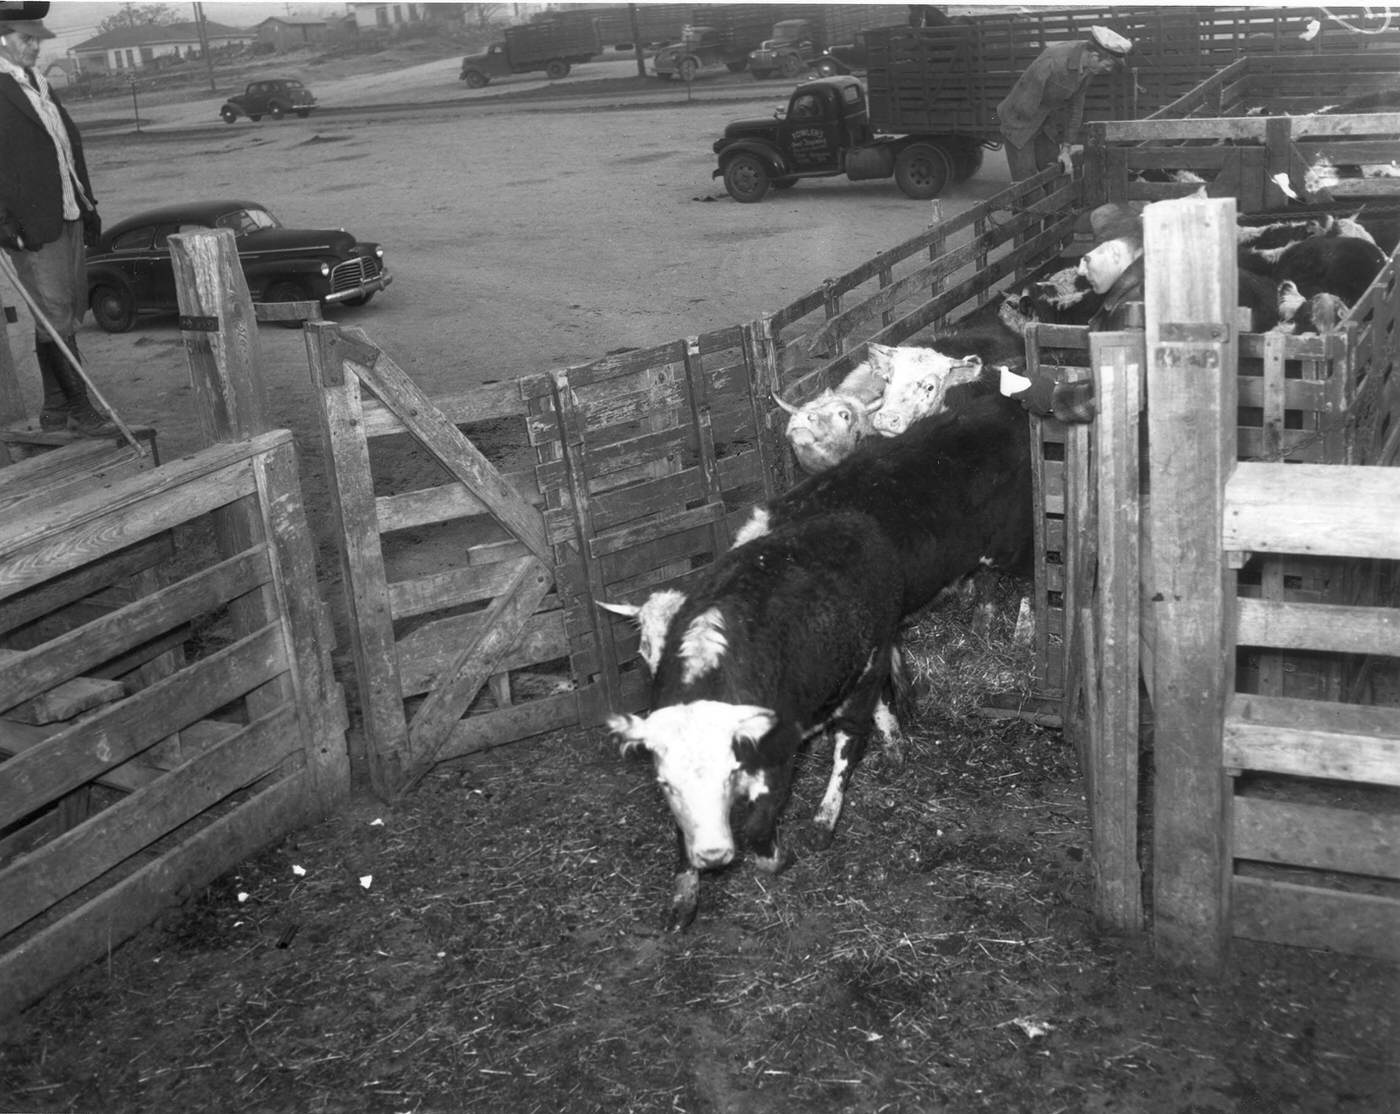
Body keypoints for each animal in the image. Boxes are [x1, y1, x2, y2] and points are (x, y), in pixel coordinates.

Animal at [607, 512, 901, 929]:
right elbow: (683, 833)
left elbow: (758, 826)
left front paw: (777, 857)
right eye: (667, 784)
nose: (712, 854)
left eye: (728, 775)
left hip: (868, 667)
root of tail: (852, 520)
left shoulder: (779, 752)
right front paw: (684, 897)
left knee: (850, 742)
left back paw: (825, 819)